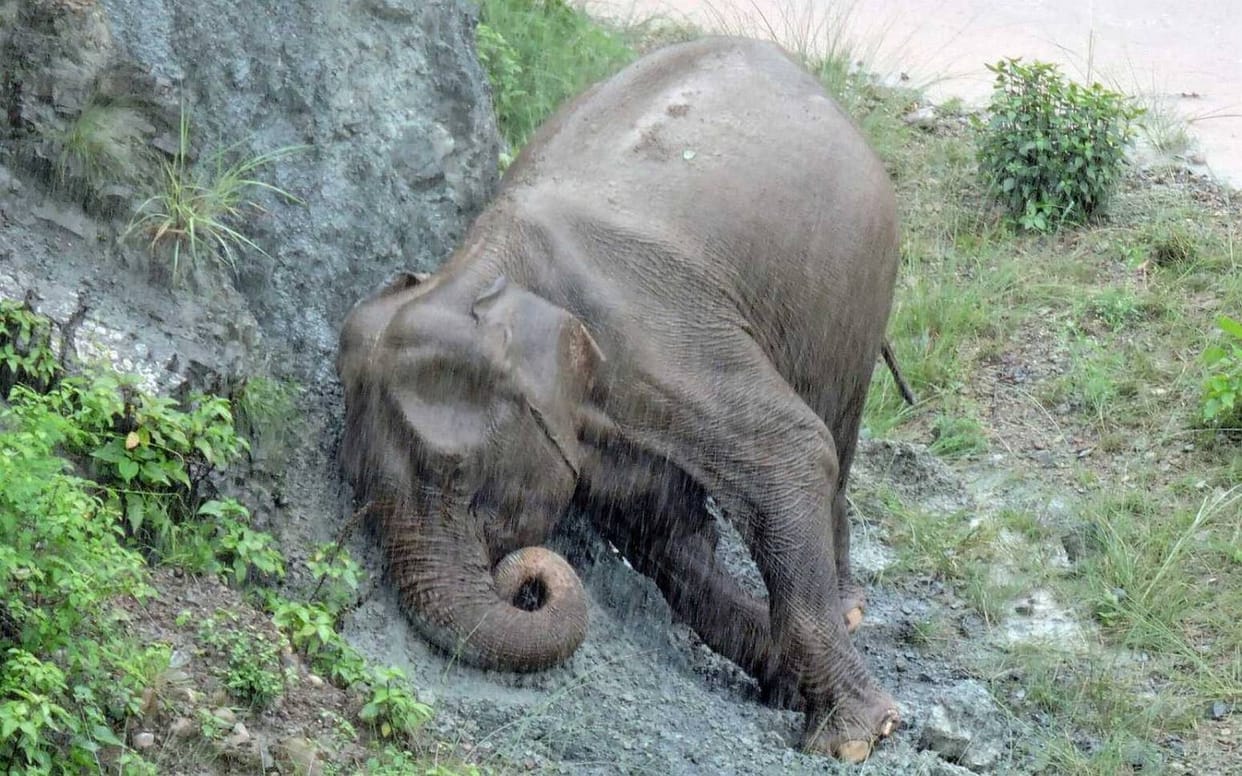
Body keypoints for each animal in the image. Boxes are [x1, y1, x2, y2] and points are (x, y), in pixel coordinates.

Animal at [337, 36, 902, 762]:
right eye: (356, 487)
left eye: (461, 481)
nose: (525, 579)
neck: (492, 266)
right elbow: (666, 532)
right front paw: (781, 677)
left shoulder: (663, 344)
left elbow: (793, 452)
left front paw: (856, 738)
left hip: (857, 284)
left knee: (835, 436)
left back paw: (852, 606)